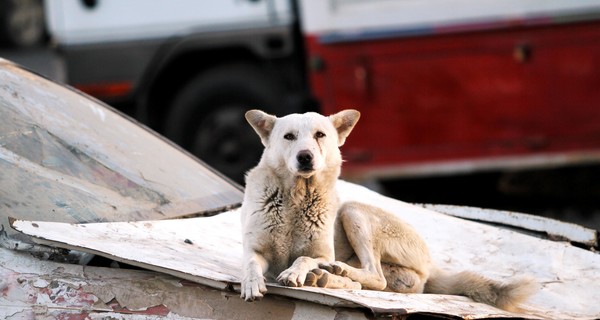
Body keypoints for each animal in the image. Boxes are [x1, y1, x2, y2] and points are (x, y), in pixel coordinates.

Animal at [239, 109, 536, 312]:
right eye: (289, 137)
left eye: (319, 135)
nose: (305, 157)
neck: (297, 199)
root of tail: (431, 265)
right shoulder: (255, 250)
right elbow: (251, 264)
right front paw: (251, 284)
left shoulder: (321, 252)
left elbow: (303, 258)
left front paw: (295, 272)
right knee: (365, 283)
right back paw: (324, 278)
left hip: (353, 211)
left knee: (374, 278)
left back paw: (334, 272)